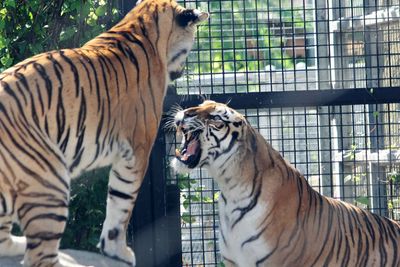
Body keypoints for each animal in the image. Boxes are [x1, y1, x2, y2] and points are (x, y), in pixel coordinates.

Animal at [0, 1, 209, 266]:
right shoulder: (137, 150)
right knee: (40, 256)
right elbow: (121, 202)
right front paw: (116, 249)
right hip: (48, 182)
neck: (139, 26)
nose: (182, 70)